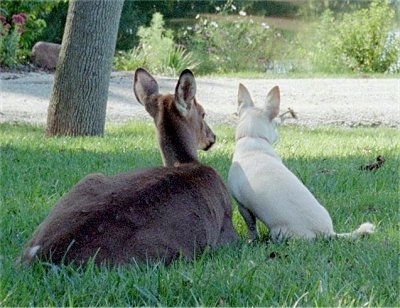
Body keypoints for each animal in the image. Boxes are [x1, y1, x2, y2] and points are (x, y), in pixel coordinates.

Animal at [18, 68, 238, 266]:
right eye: (203, 113)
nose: (212, 137)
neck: (186, 162)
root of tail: (38, 255)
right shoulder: (227, 228)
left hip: (90, 177)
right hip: (167, 253)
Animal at [228, 83, 376, 242]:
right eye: (276, 125)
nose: (278, 134)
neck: (251, 137)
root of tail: (327, 232)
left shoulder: (242, 205)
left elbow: (251, 225)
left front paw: (252, 239)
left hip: (279, 233)